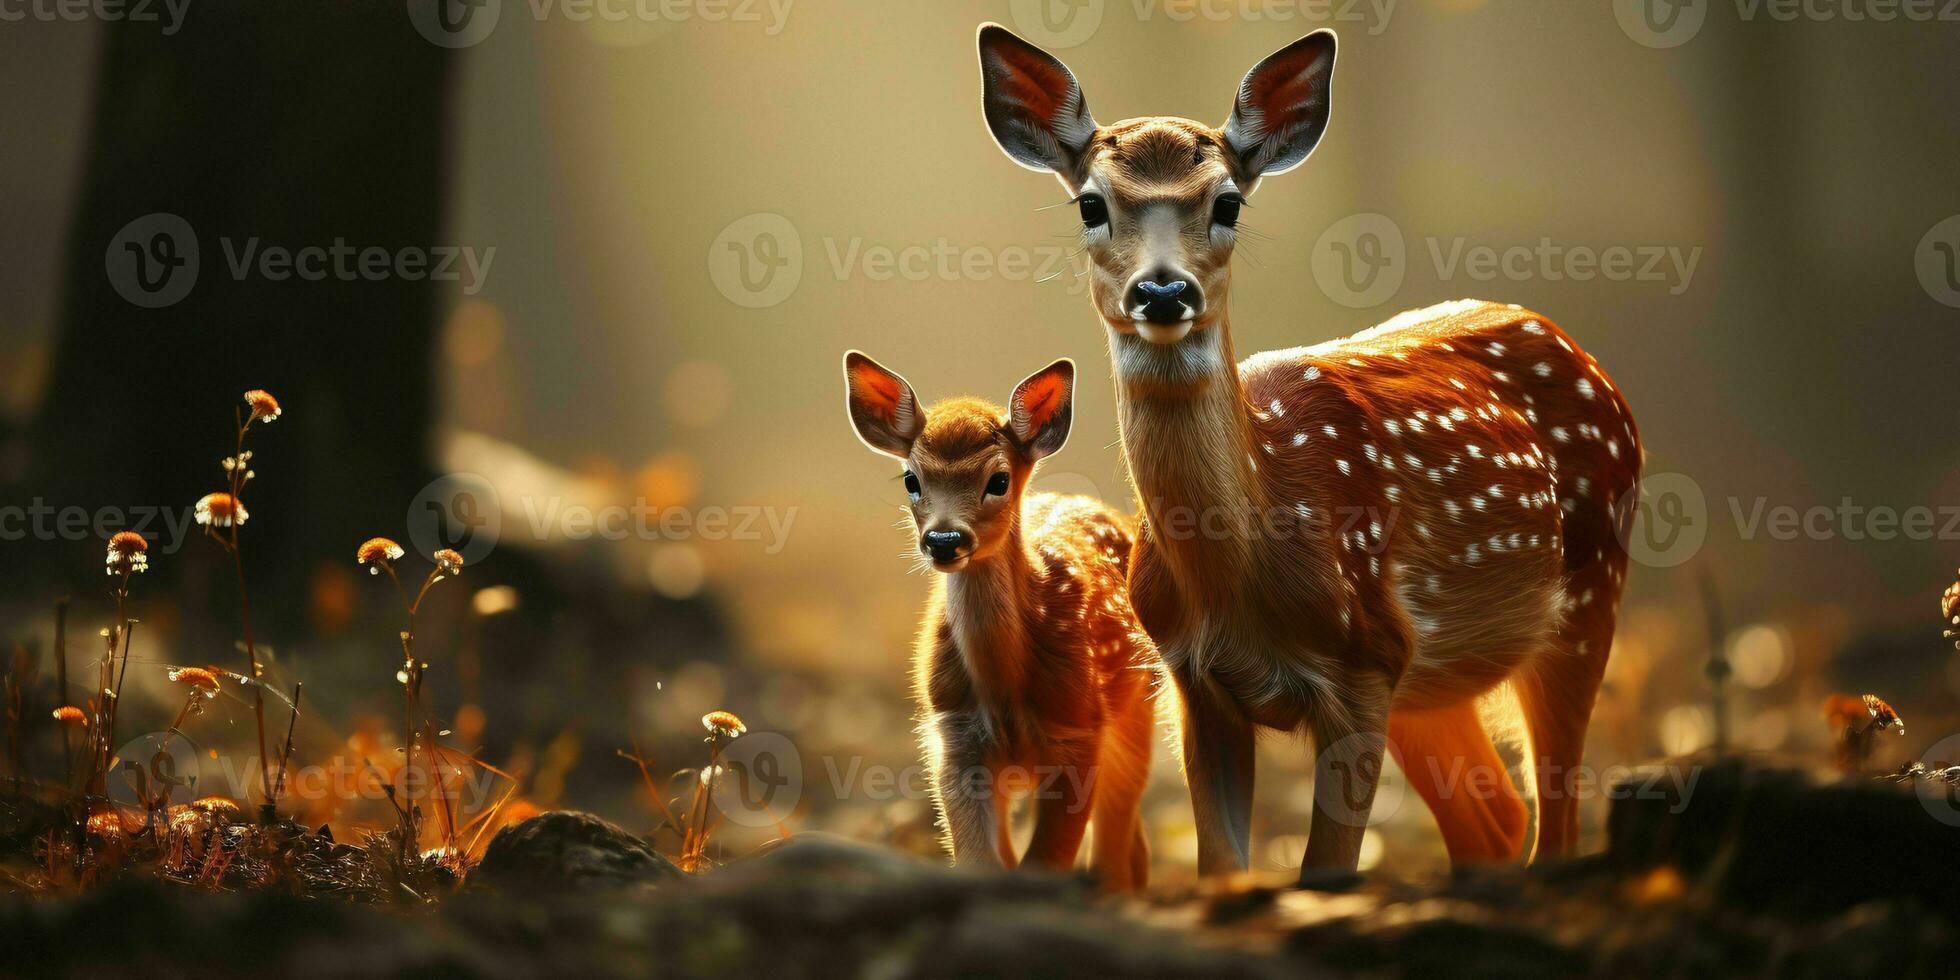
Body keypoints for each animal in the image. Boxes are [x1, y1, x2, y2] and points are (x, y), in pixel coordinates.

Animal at [980, 26, 1638, 878]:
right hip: (1432, 681)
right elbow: (1223, 865)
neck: (1240, 580)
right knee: (1497, 818)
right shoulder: (1196, 683)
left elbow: (1326, 871)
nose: (1163, 292)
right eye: (1092, 203)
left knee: (1553, 821)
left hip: (1591, 592)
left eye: (1227, 201)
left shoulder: (1363, 665)